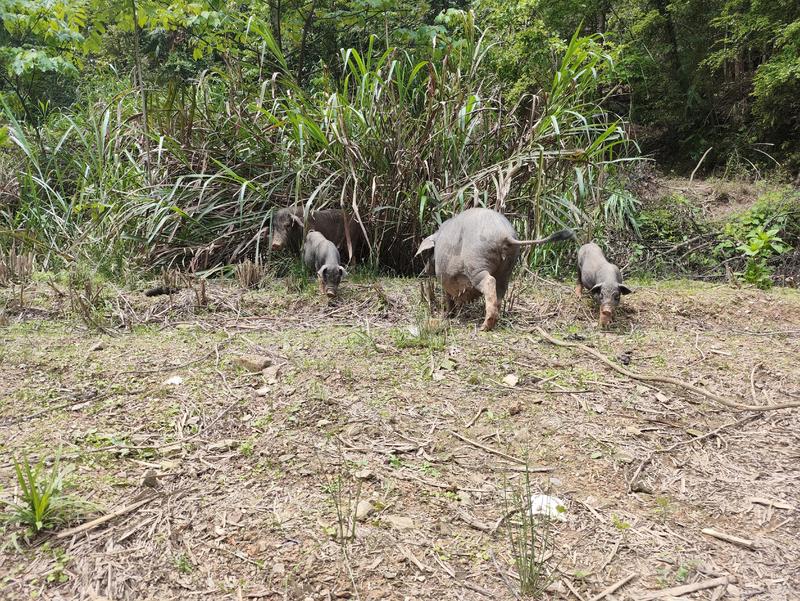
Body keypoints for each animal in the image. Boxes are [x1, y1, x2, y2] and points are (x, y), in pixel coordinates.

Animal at [418, 207, 576, 330]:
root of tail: (504, 234)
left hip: (477, 265)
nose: (423, 271)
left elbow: (448, 297)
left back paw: (484, 327)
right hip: (508, 267)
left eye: (429, 253)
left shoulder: (445, 278)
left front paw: (446, 316)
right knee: (500, 289)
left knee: (489, 282)